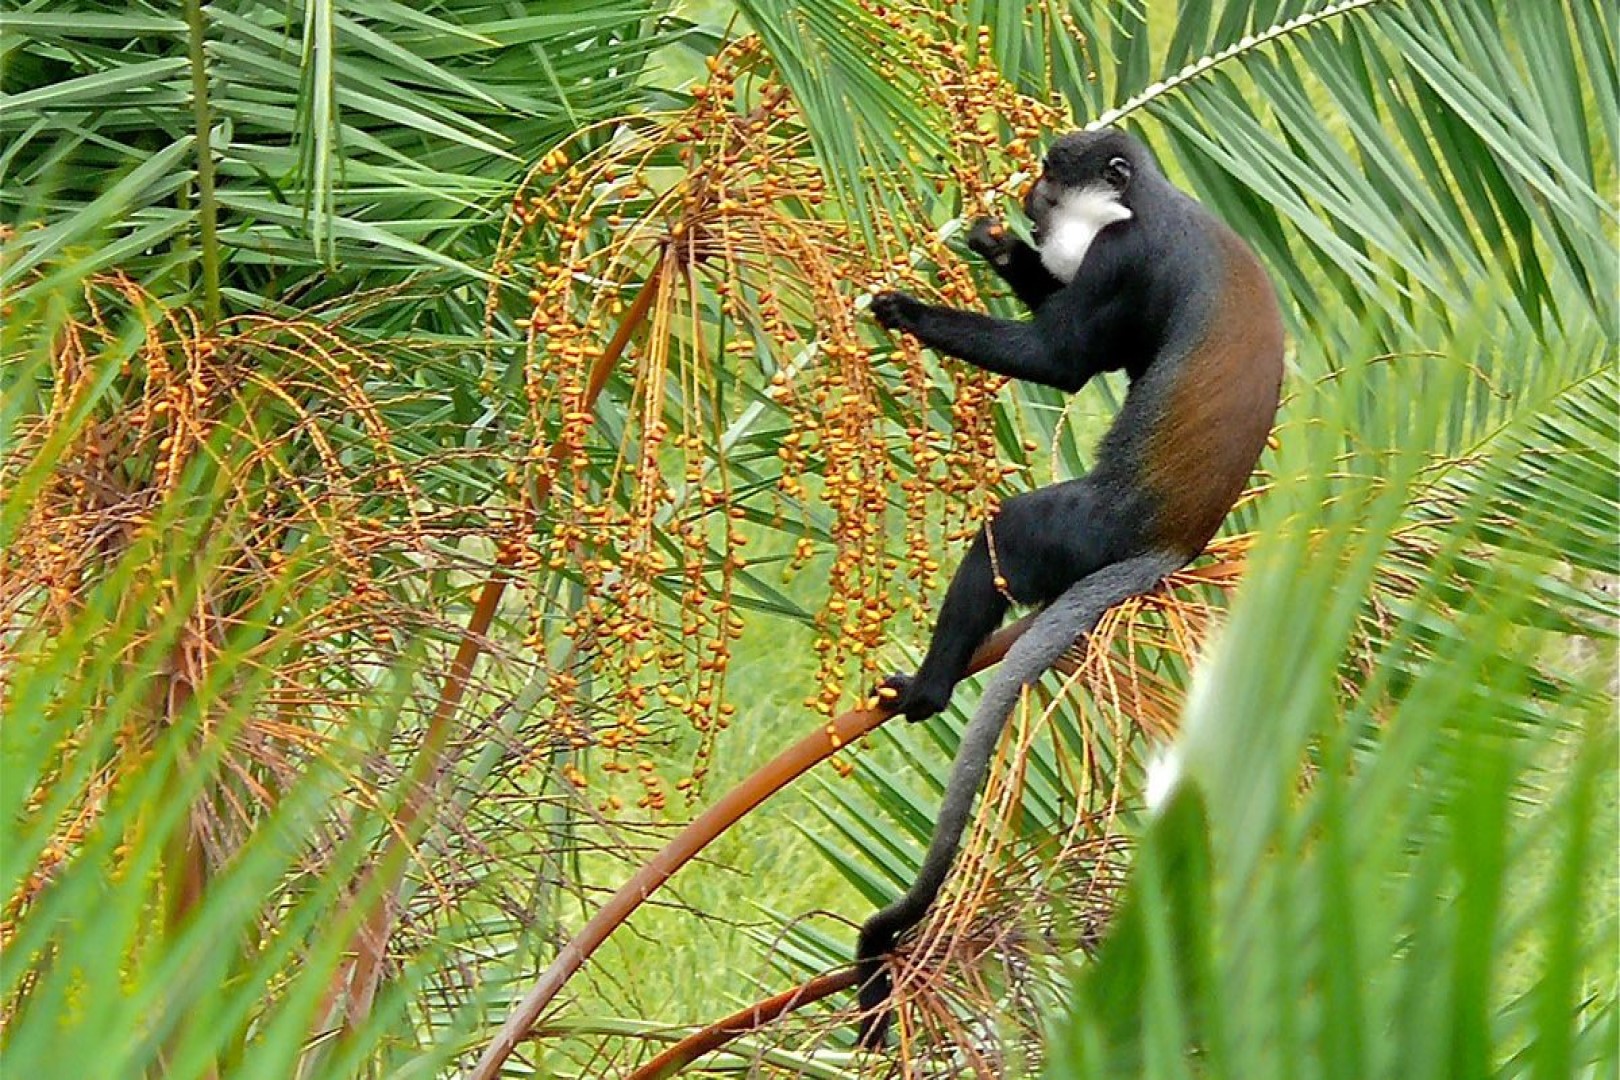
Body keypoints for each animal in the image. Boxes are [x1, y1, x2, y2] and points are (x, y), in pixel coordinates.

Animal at [855, 128, 1283, 1049]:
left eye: (1055, 177)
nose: (1032, 202)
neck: (1147, 201)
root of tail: (1167, 548)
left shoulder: (1122, 258)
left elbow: (1064, 364)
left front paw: (906, 310)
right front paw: (995, 244)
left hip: (1084, 531)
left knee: (1007, 531)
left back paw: (931, 689)